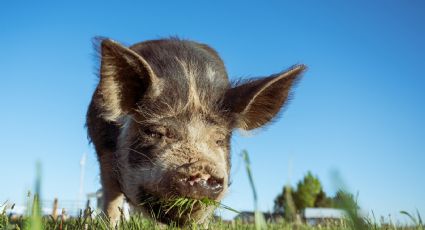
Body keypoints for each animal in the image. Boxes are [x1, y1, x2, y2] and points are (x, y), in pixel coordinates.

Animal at [86, 37, 304, 226]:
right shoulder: (105, 151)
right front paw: (109, 224)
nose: (201, 167)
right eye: (155, 132)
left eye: (219, 139)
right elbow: (111, 200)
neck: (191, 84)